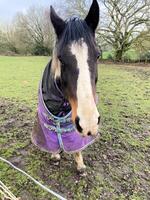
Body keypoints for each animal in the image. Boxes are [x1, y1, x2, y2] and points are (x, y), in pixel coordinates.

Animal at [31, 0, 101, 172]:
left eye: (98, 55)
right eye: (60, 58)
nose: (89, 123)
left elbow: (76, 143)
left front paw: (80, 164)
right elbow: (51, 139)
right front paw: (55, 154)